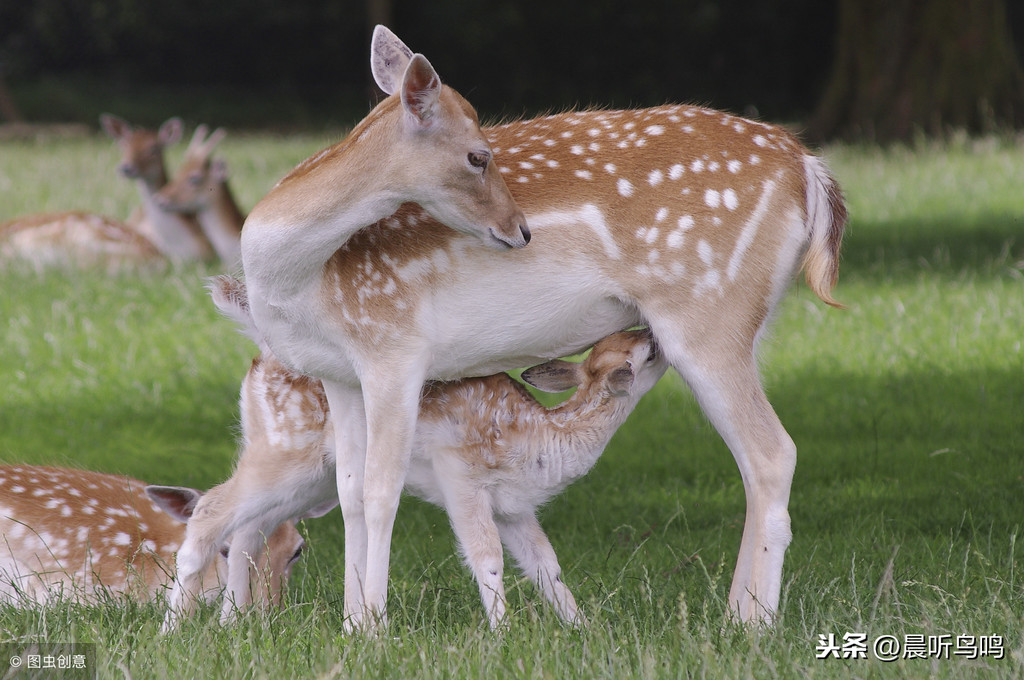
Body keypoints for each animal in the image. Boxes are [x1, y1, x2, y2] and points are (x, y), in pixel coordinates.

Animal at [163, 276, 667, 630]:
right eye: (637, 351)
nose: (654, 334)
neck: (539, 441)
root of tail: (262, 353)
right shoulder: (460, 474)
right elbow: (487, 558)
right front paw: (504, 634)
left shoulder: (515, 507)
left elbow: (548, 566)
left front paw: (584, 630)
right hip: (284, 448)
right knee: (210, 509)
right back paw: (173, 631)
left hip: (309, 476)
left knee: (248, 529)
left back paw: (232, 624)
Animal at [239, 26, 847, 630]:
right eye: (479, 155)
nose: (520, 229)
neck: (303, 284)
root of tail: (808, 167)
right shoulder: (338, 373)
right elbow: (350, 497)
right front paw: (352, 626)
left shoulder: (395, 348)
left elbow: (381, 490)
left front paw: (375, 629)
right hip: (744, 324)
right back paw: (737, 615)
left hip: (708, 314)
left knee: (773, 452)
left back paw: (752, 625)